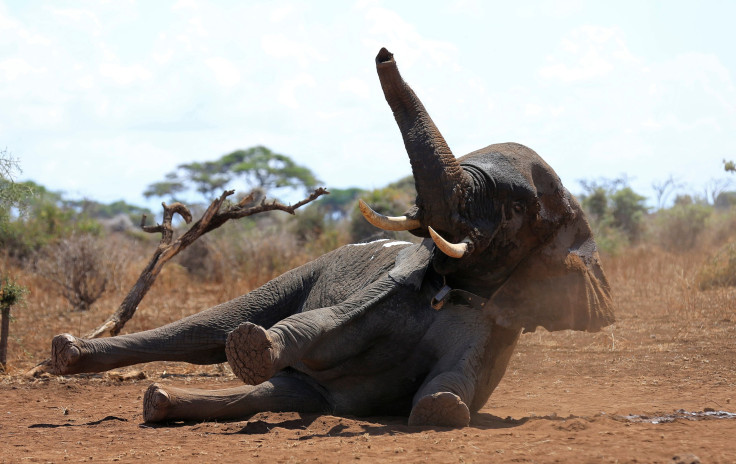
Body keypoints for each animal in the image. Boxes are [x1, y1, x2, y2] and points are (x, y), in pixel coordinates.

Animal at [49, 48, 616, 428]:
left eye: (516, 207)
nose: (385, 52)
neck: (451, 284)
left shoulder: (494, 320)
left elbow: (448, 393)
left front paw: (440, 405)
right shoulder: (395, 281)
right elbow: (319, 322)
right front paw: (253, 344)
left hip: (308, 392)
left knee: (270, 394)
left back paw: (160, 401)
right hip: (309, 269)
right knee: (205, 331)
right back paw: (68, 353)